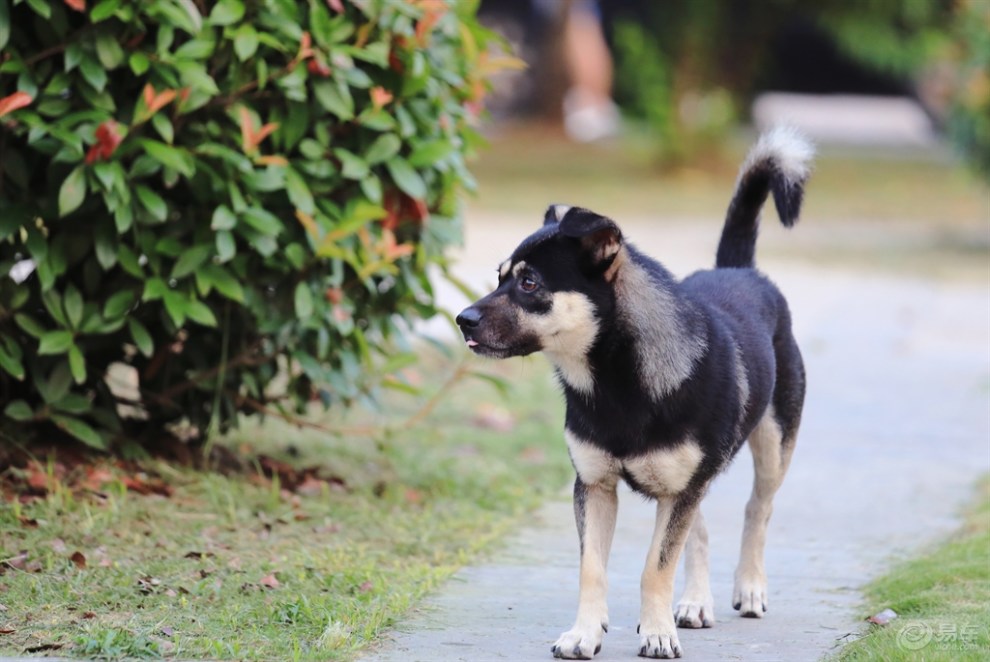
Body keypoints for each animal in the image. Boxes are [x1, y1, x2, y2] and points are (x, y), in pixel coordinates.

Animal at [458, 128, 812, 660]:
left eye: (530, 282)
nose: (462, 320)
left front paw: (657, 632)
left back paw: (749, 587)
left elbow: (655, 566)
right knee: (701, 530)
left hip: (772, 445)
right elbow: (593, 568)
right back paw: (695, 602)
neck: (615, 378)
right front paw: (585, 633)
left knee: (758, 509)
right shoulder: (595, 485)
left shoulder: (680, 488)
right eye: (501, 276)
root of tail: (739, 269)